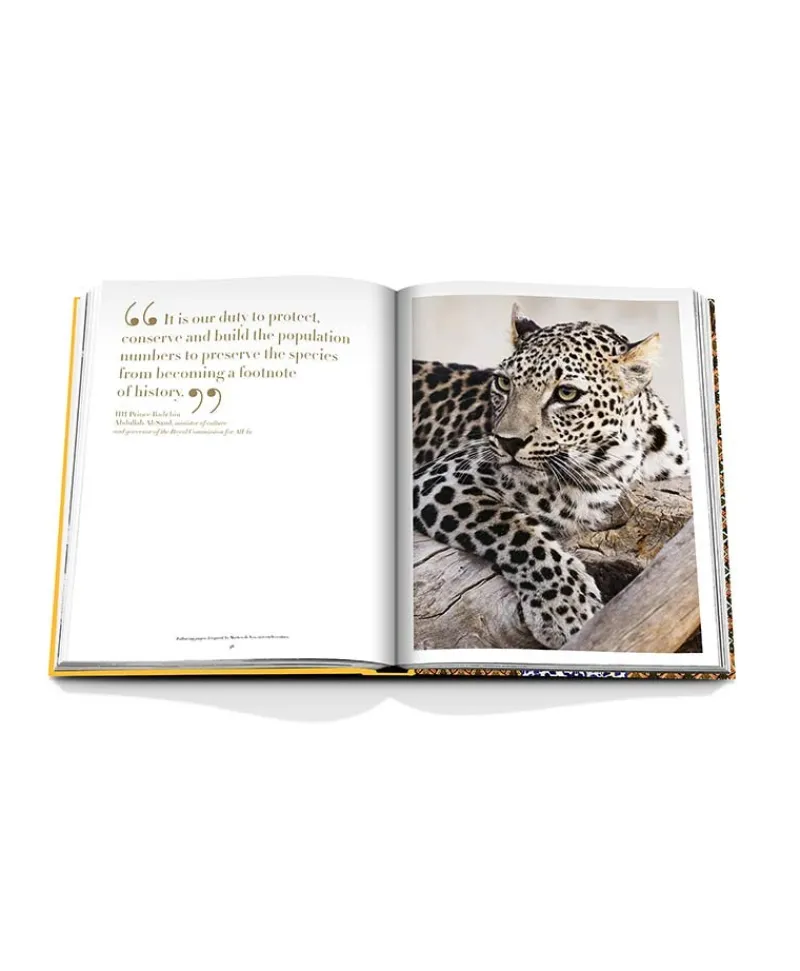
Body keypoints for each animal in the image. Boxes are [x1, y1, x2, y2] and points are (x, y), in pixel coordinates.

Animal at [412, 302, 689, 649]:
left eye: (566, 393)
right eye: (504, 383)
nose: (508, 441)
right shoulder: (443, 478)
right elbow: (516, 530)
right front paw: (567, 608)